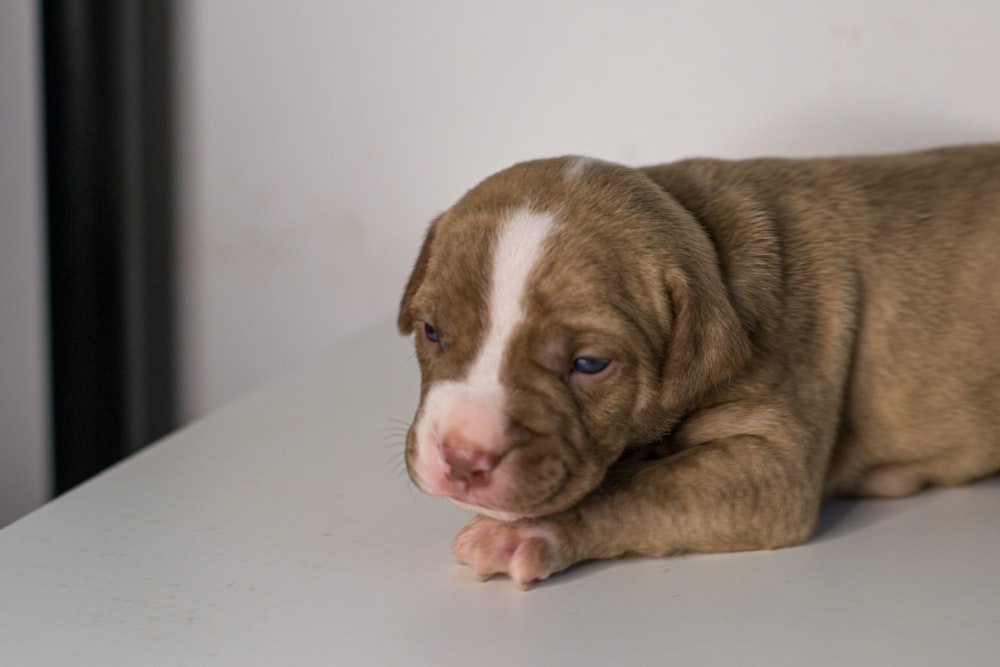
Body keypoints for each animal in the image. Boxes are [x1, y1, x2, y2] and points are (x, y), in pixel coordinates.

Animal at [394, 146, 1000, 588]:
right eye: (431, 331)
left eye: (589, 363)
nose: (462, 456)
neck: (706, 235)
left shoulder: (770, 465)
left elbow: (642, 485)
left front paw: (527, 533)